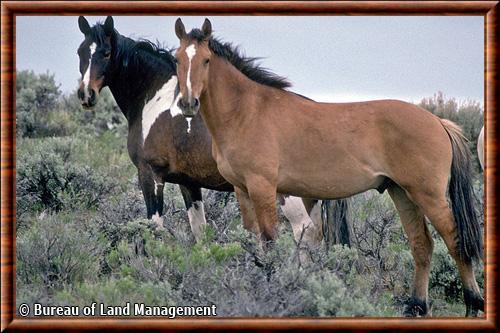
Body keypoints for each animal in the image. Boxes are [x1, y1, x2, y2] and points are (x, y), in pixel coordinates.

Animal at [76, 16, 350, 248]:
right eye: (80, 52)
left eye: (106, 53)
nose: (86, 94)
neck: (155, 96)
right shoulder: (189, 183)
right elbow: (200, 232)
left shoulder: (150, 175)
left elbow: (153, 229)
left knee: (303, 232)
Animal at [174, 18, 482, 316]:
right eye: (177, 59)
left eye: (206, 60)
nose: (188, 103)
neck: (247, 111)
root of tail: (438, 122)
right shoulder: (242, 190)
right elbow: (251, 241)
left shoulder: (263, 189)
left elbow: (270, 241)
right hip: (402, 193)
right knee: (422, 245)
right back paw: (416, 306)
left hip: (428, 196)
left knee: (455, 241)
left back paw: (473, 304)